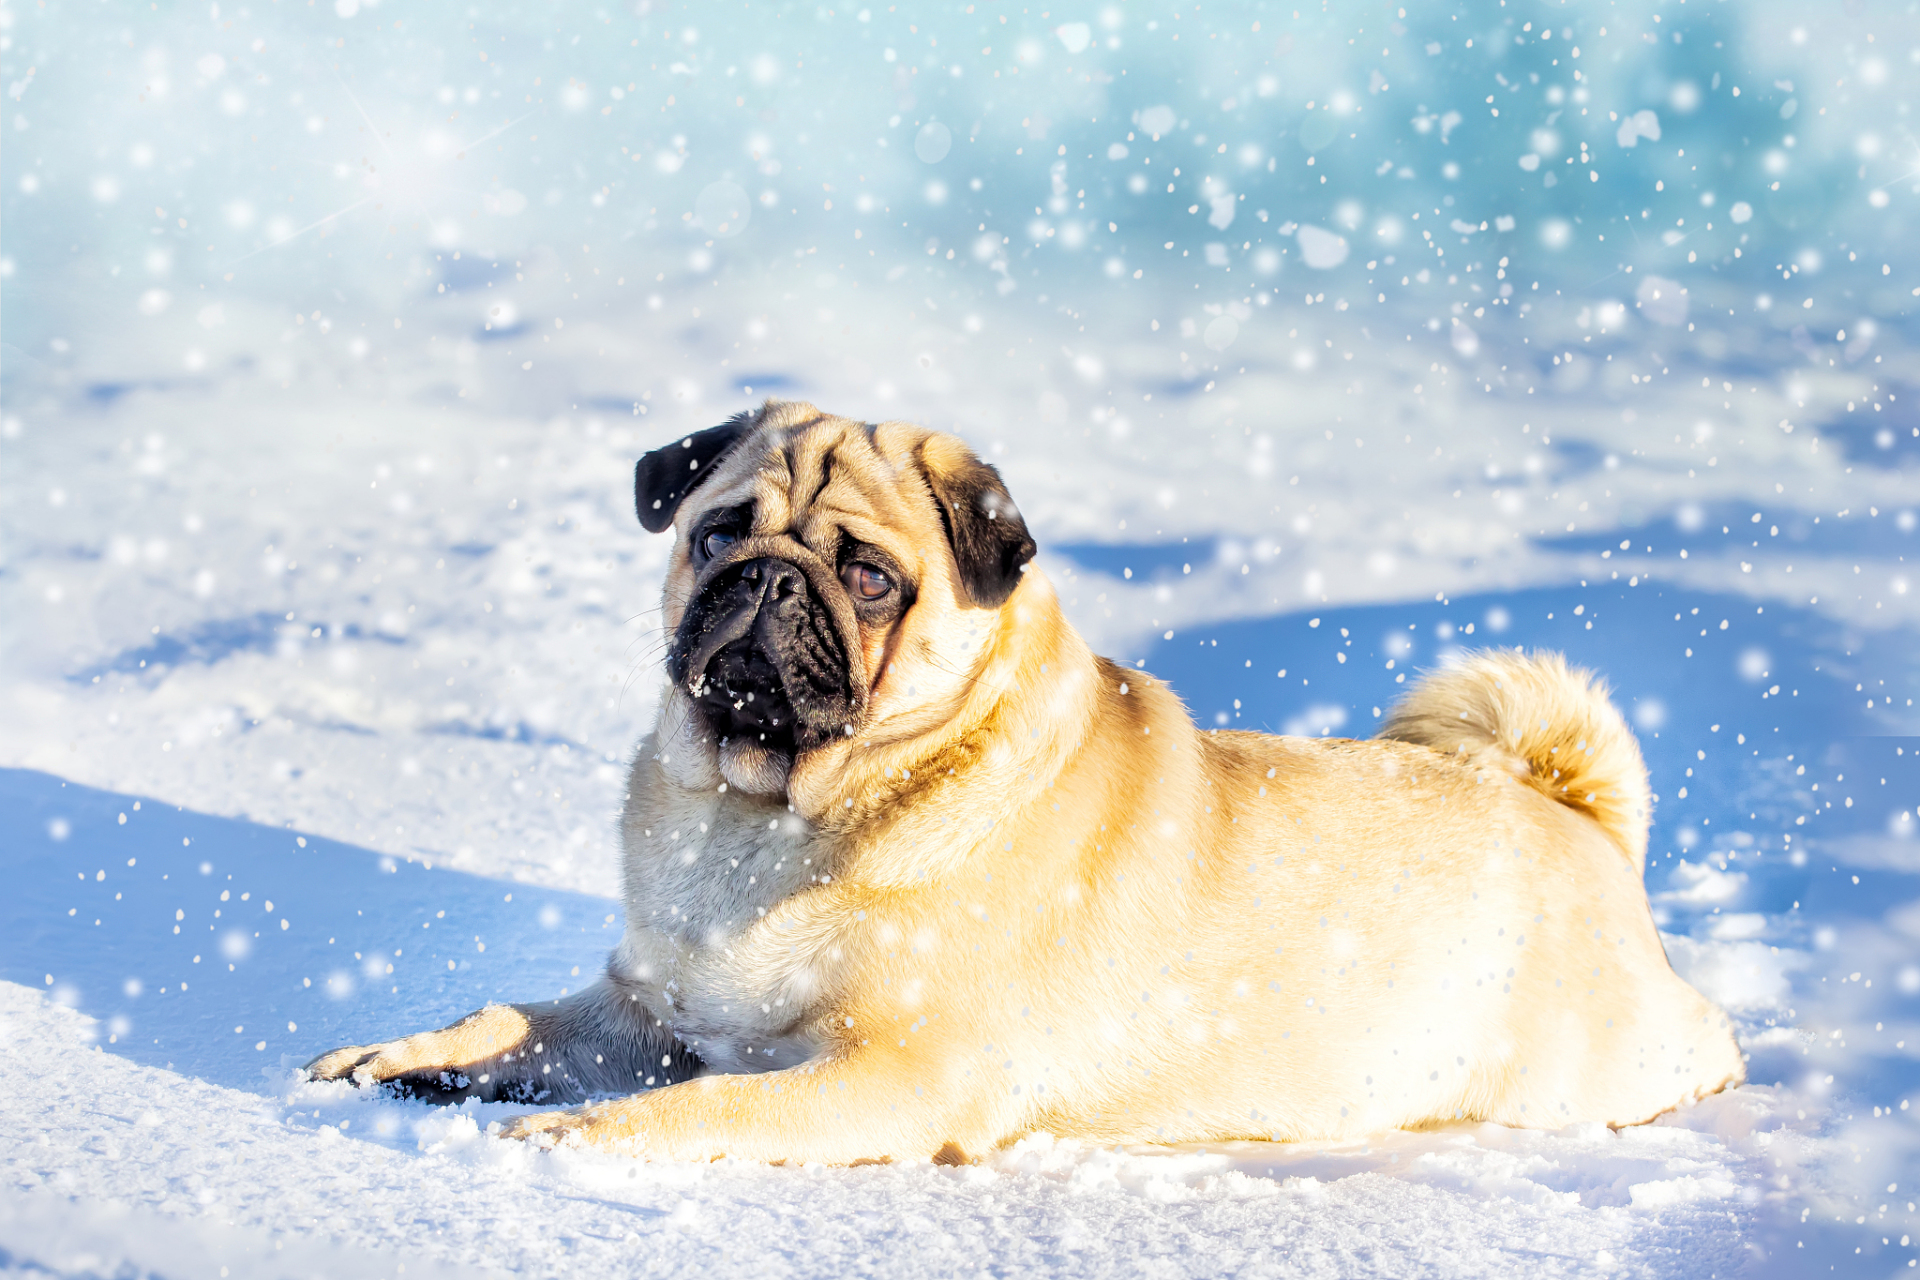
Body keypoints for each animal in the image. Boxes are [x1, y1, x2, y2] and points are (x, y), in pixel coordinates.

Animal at [307, 401, 1751, 1159]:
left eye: (869, 576)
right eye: (718, 533)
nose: (768, 581)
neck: (764, 817)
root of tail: (1571, 814)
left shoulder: (894, 1072)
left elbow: (714, 1101)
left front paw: (587, 1142)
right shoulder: (641, 1011)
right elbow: (508, 1023)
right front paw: (402, 1059)